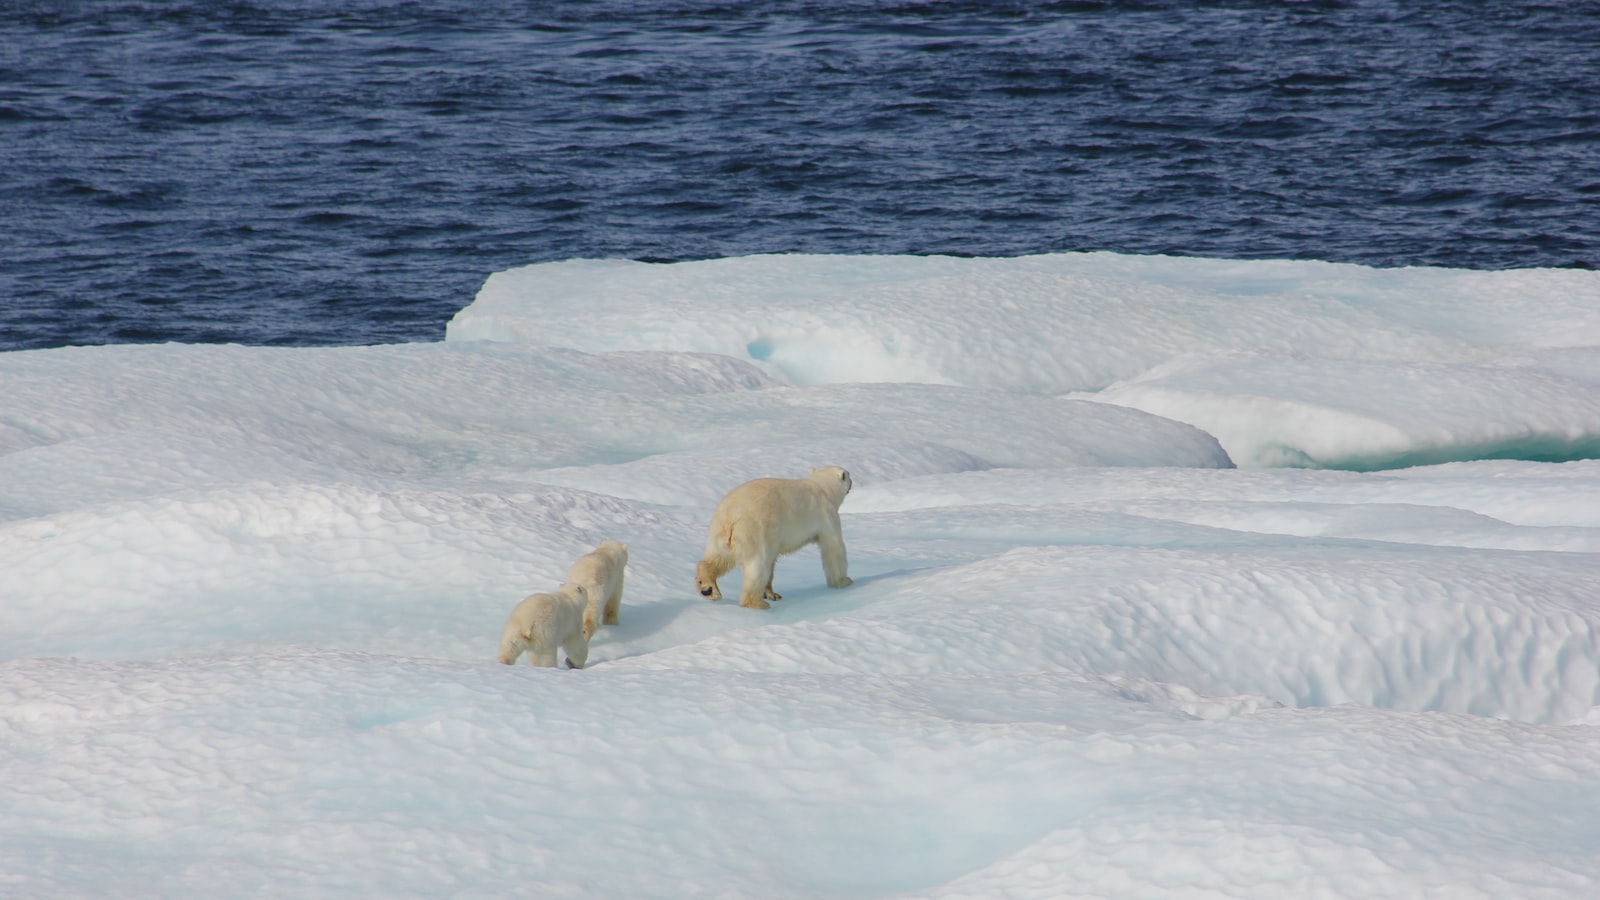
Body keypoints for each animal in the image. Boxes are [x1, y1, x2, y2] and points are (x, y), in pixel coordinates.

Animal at [697, 461, 857, 608]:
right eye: (848, 474)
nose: (852, 481)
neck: (822, 487)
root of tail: (731, 515)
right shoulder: (826, 514)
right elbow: (834, 548)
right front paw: (844, 581)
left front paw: (772, 593)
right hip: (755, 531)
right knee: (757, 567)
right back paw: (757, 603)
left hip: (720, 532)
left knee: (718, 558)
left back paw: (708, 588)